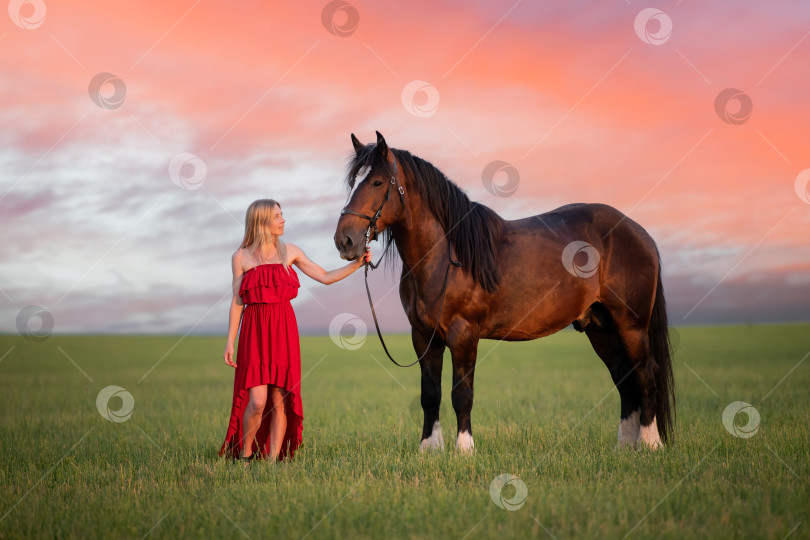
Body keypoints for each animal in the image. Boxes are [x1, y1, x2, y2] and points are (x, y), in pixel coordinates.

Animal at [332, 131, 672, 452]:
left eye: (376, 182)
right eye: (352, 182)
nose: (344, 240)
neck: (446, 255)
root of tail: (639, 232)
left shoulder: (463, 333)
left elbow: (462, 393)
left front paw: (464, 450)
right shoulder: (423, 336)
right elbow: (430, 395)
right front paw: (429, 449)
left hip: (631, 326)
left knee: (646, 375)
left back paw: (650, 444)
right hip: (601, 327)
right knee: (624, 379)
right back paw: (624, 447)